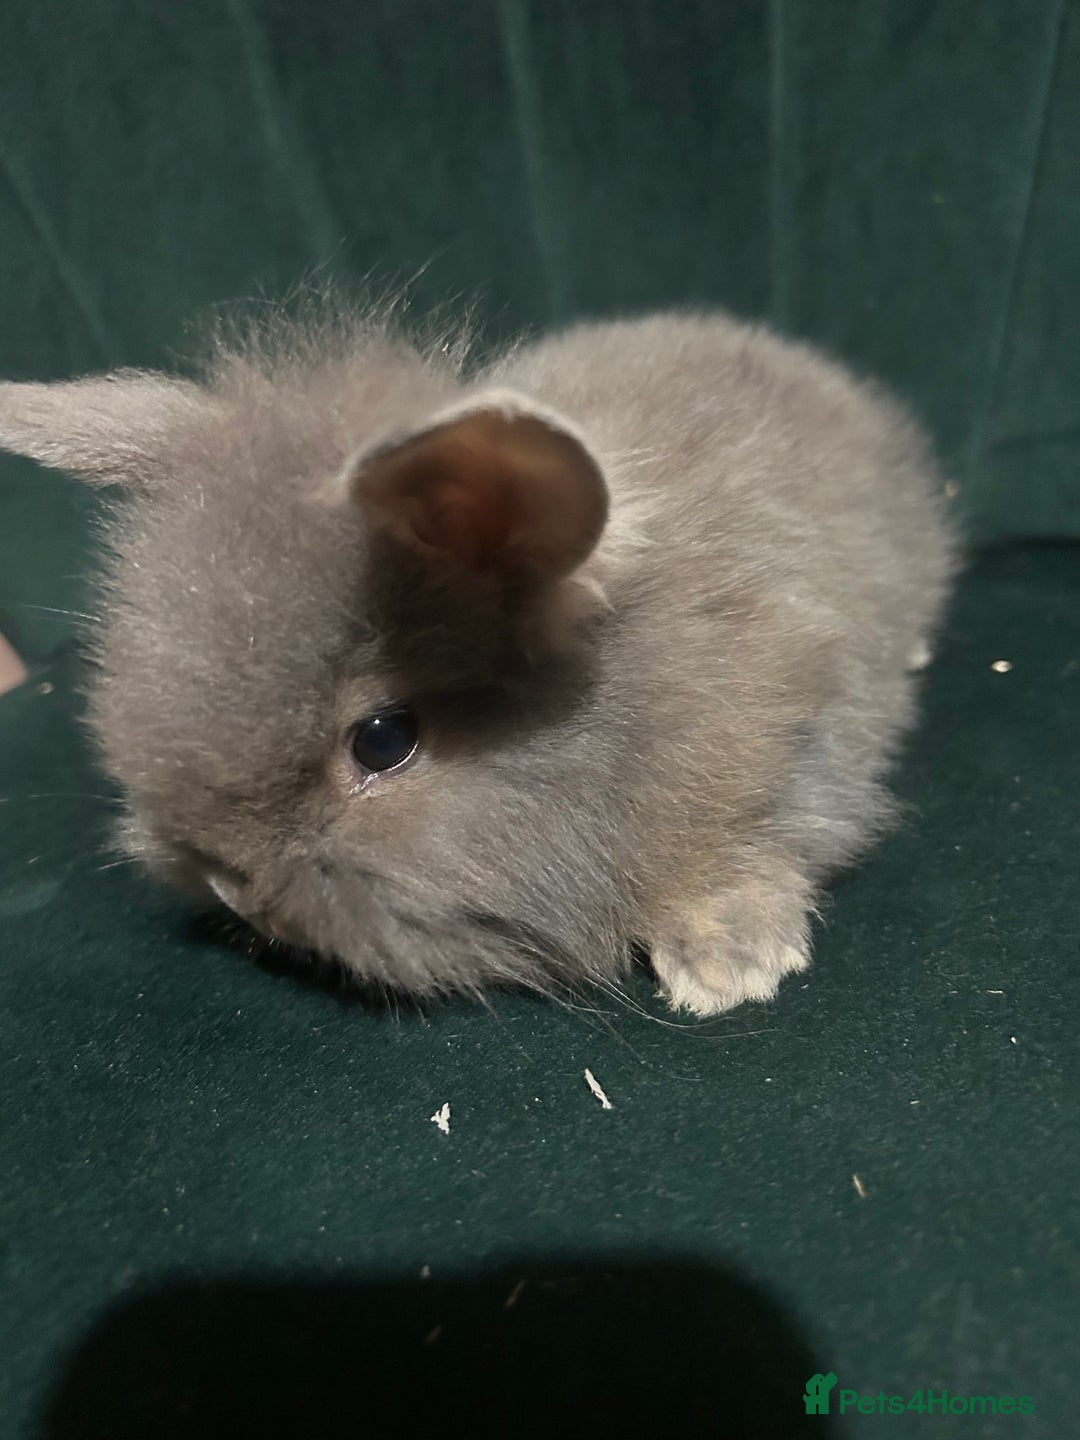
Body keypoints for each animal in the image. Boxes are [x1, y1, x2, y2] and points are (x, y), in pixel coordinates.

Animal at [0, 302, 956, 1014]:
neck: (632, 682)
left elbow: (742, 842)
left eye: (383, 739)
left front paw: (727, 967)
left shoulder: (785, 738)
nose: (230, 886)